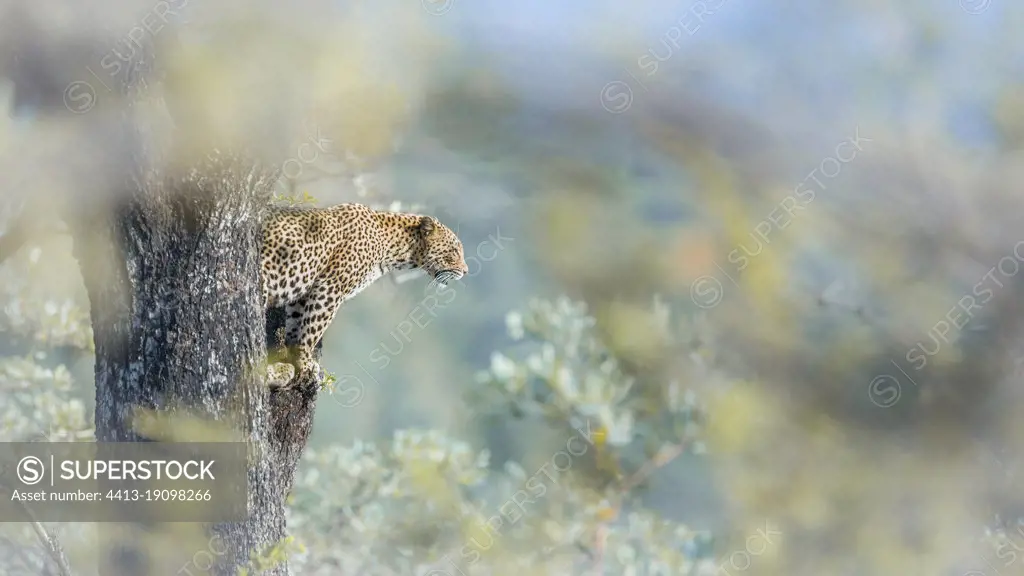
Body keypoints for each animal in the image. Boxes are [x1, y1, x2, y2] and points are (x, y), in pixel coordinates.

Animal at [264, 202, 471, 389]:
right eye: (454, 251)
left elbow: (296, 324)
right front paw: (306, 362)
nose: (466, 271)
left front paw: (293, 356)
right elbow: (313, 329)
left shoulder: (305, 291)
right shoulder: (330, 287)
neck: (393, 248)